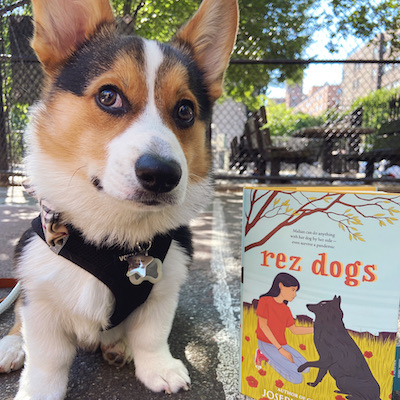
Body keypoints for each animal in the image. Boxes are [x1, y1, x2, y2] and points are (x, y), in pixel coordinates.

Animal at [0, 0, 238, 396]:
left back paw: (116, 345)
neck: (115, 234)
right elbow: (47, 356)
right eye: (108, 96)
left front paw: (159, 368)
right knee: (17, 319)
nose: (162, 175)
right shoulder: (40, 295)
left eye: (185, 111)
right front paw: (39, 392)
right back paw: (11, 346)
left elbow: (152, 335)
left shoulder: (164, 289)